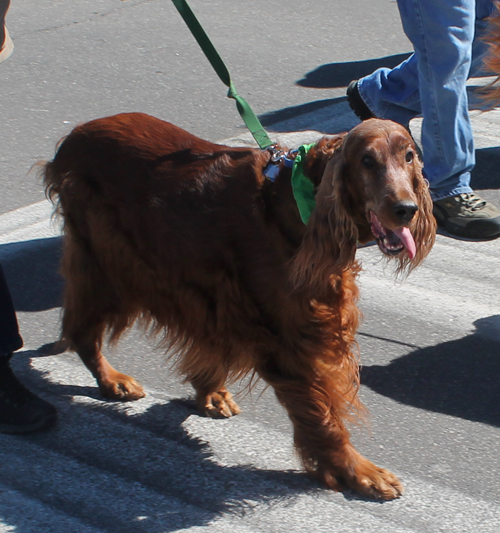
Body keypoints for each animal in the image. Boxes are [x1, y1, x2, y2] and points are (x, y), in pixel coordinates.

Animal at [43, 112, 436, 498]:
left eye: (408, 156)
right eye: (367, 160)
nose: (406, 209)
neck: (293, 206)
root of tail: (75, 135)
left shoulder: (222, 300)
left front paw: (208, 390)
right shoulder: (287, 338)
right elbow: (324, 415)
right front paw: (357, 472)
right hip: (111, 263)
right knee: (81, 330)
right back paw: (112, 381)